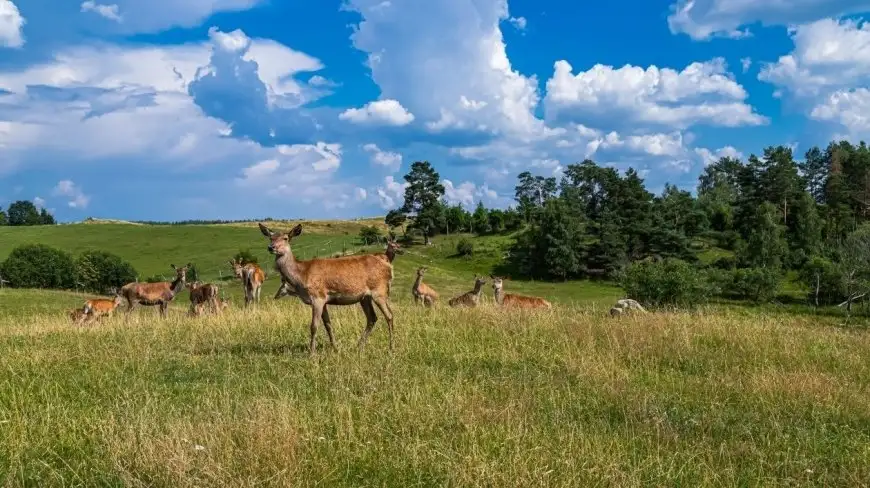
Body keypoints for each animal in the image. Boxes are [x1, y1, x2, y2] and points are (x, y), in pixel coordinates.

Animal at [258, 223, 396, 356]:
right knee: (372, 318)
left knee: (389, 315)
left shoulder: (317, 296)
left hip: (379, 290)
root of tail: (388, 265)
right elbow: (328, 324)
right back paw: (359, 347)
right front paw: (335, 348)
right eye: (270, 237)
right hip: (365, 297)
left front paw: (312, 353)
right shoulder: (324, 300)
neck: (302, 275)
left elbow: (314, 326)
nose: (271, 247)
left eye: (286, 238)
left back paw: (391, 348)